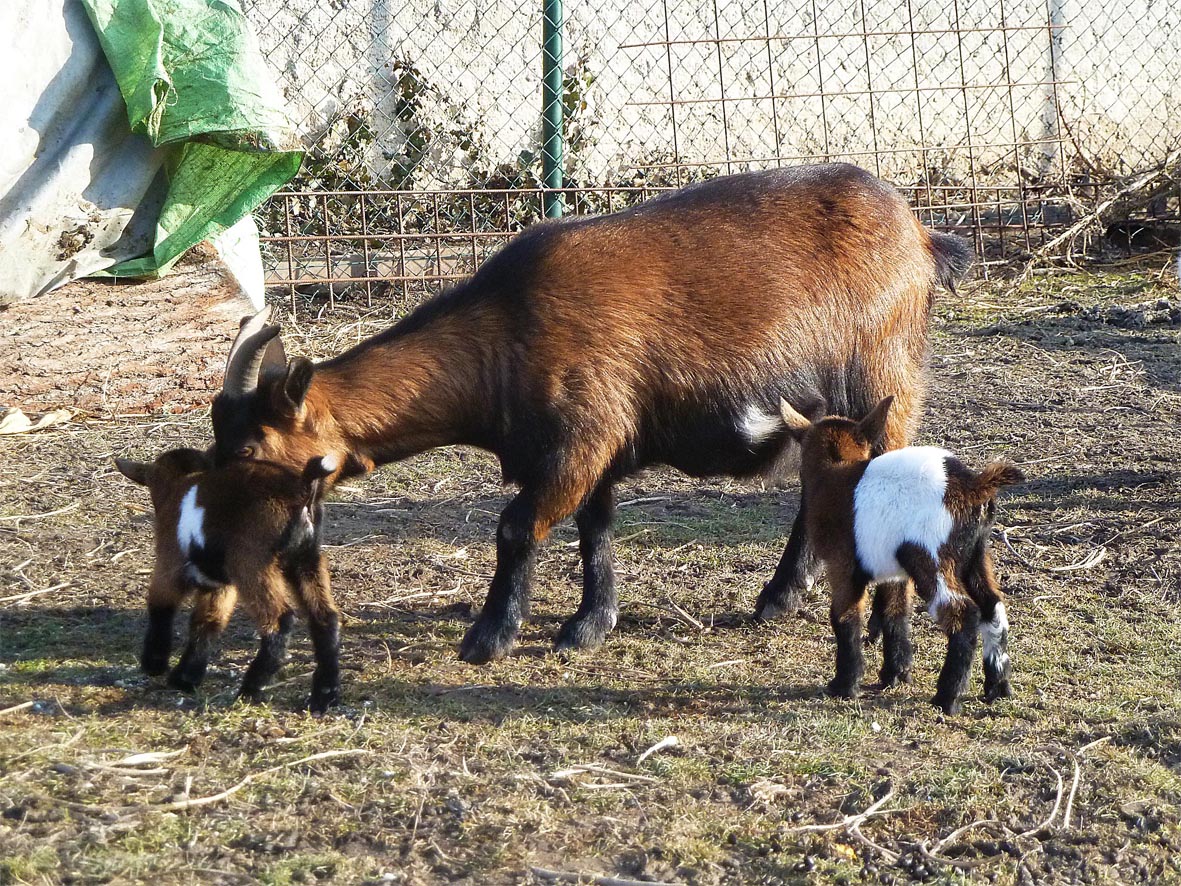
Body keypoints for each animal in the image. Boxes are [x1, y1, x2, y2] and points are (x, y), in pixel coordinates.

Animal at [212, 165, 968, 666]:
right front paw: (589, 623)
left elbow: (516, 528)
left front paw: (489, 637)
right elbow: (595, 533)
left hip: (881, 385)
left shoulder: (578, 440)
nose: (218, 544)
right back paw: (777, 598)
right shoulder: (595, 451)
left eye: (249, 448)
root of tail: (918, 234)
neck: (506, 328)